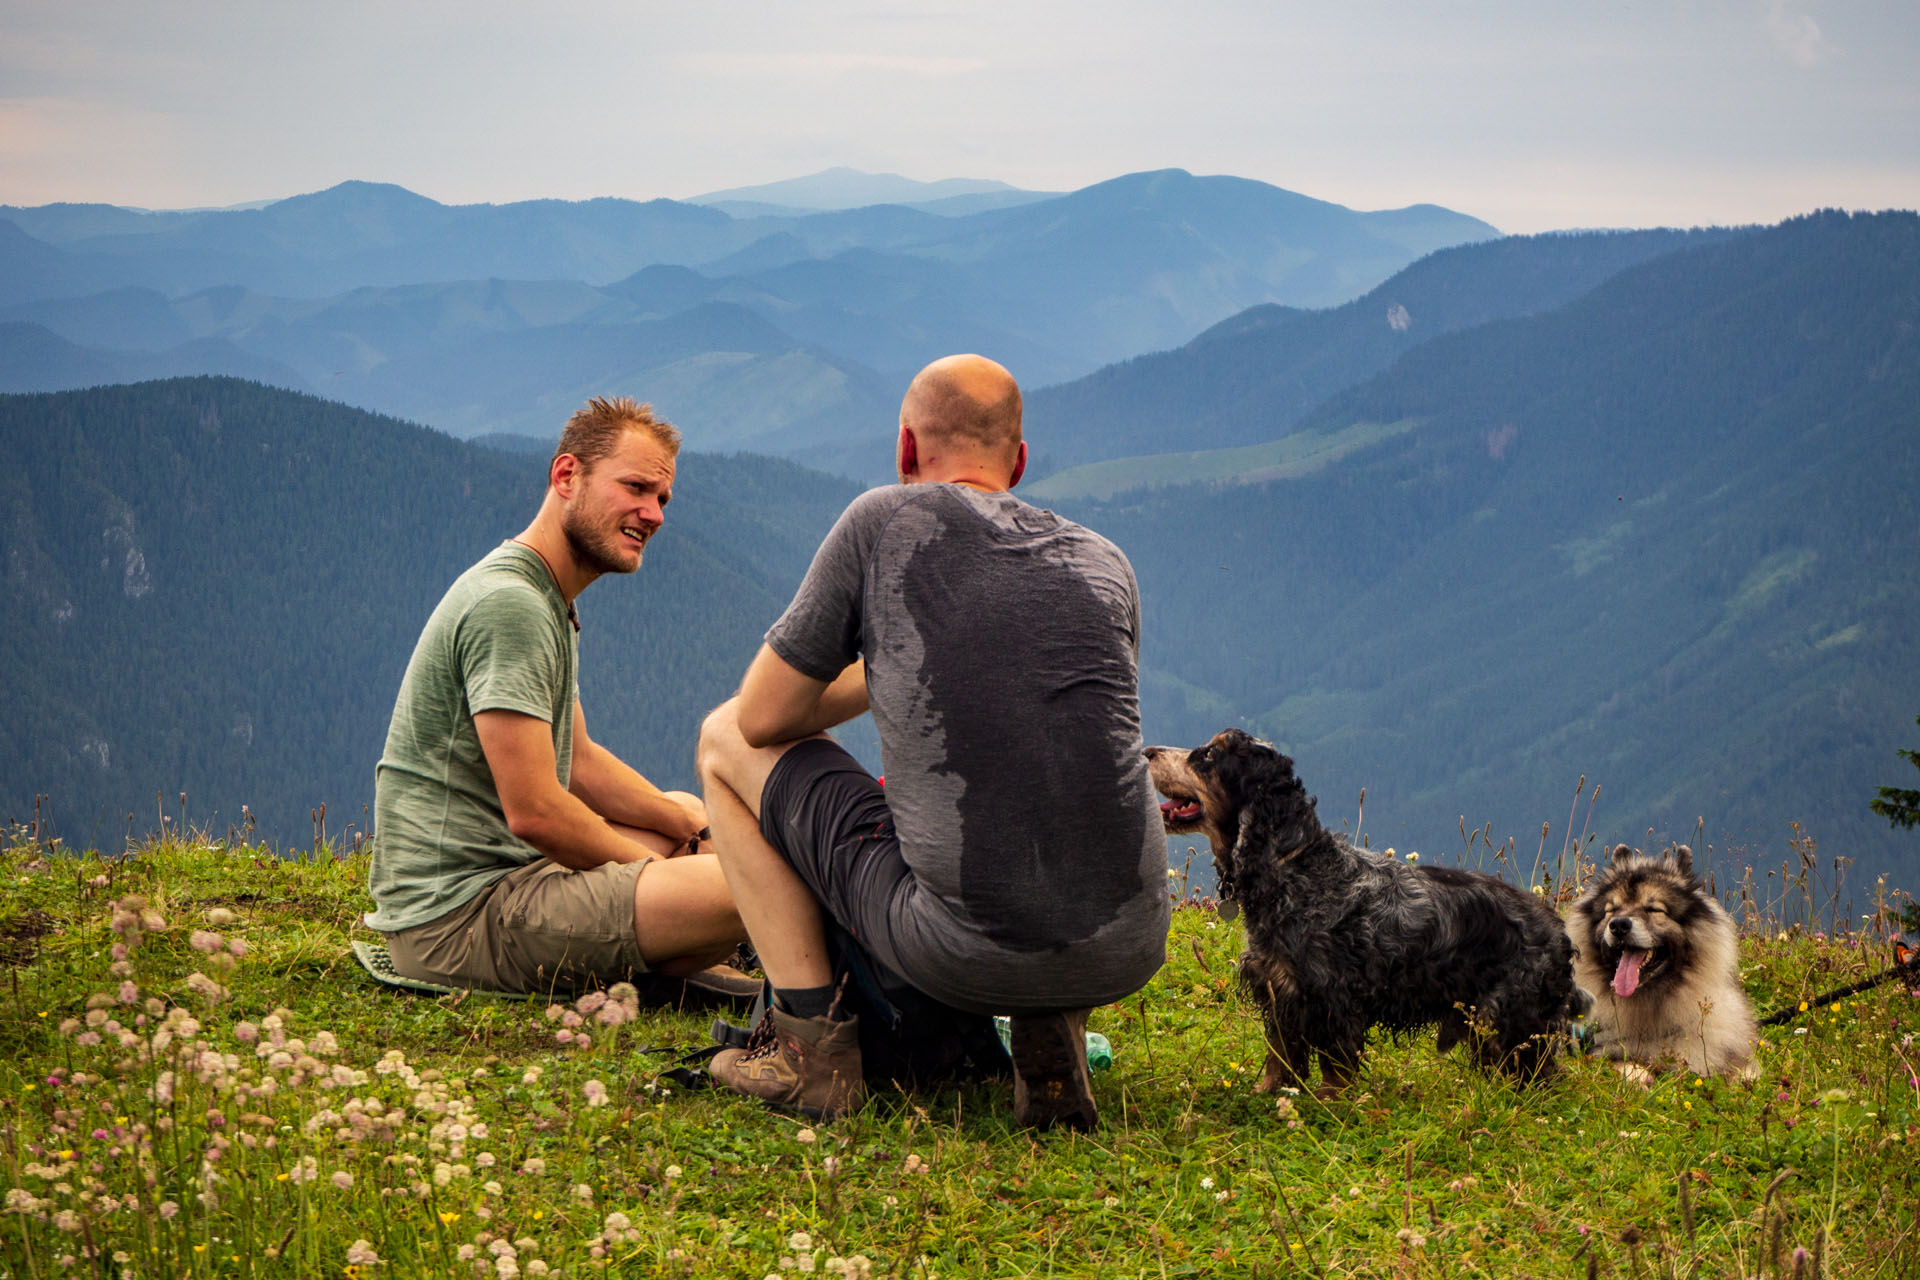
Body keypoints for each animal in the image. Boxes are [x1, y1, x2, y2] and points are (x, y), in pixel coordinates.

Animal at [1144, 736, 1566, 1097]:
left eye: (1210, 755)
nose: (1147, 751)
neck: (1293, 867)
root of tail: (1556, 928)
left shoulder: (1331, 995)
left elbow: (1334, 1059)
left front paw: (1331, 1099)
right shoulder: (1279, 989)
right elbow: (1280, 1052)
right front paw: (1269, 1091)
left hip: (1512, 1020)